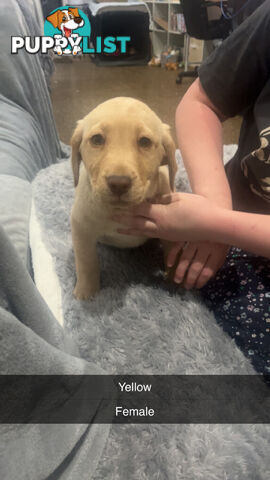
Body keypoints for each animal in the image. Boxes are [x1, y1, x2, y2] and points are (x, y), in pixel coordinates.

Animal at [70, 96, 176, 300]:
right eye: (97, 139)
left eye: (144, 142)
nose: (118, 183)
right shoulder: (81, 227)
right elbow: (86, 261)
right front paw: (87, 293)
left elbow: (172, 254)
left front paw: (176, 282)